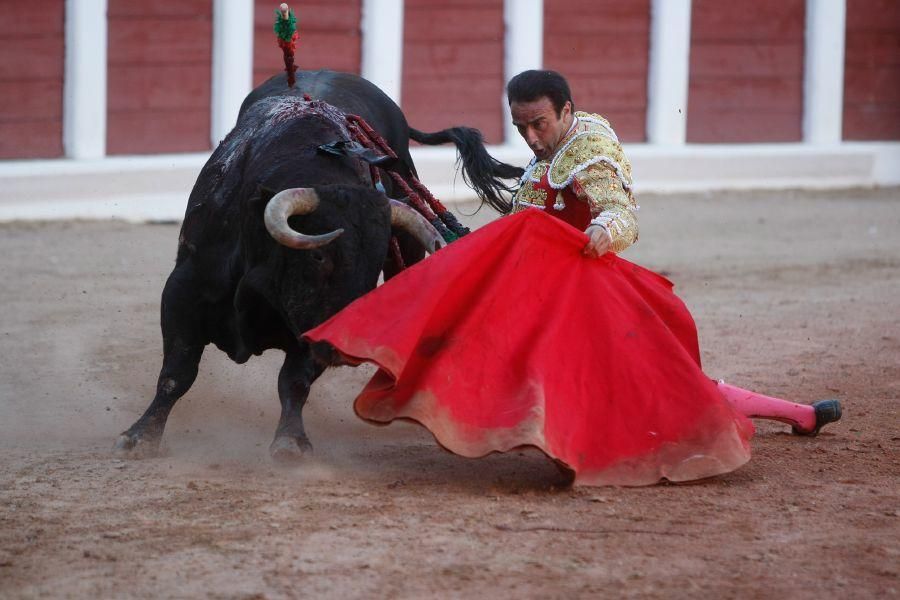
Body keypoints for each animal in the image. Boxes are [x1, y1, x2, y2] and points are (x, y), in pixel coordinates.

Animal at [114, 69, 520, 460]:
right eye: (319, 255)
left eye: (374, 261)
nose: (345, 349)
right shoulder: (183, 291)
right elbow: (177, 371)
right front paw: (140, 436)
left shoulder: (313, 329)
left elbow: (294, 380)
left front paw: (290, 442)